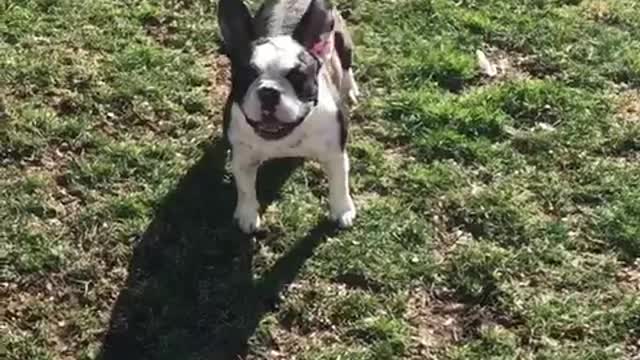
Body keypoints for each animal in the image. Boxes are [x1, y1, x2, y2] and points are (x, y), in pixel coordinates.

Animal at [218, 0, 360, 233]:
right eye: (246, 75)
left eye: (298, 77)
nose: (268, 91)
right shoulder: (243, 158)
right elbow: (246, 188)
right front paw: (247, 214)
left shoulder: (335, 155)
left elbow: (340, 183)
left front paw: (343, 210)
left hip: (344, 42)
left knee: (346, 67)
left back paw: (351, 88)